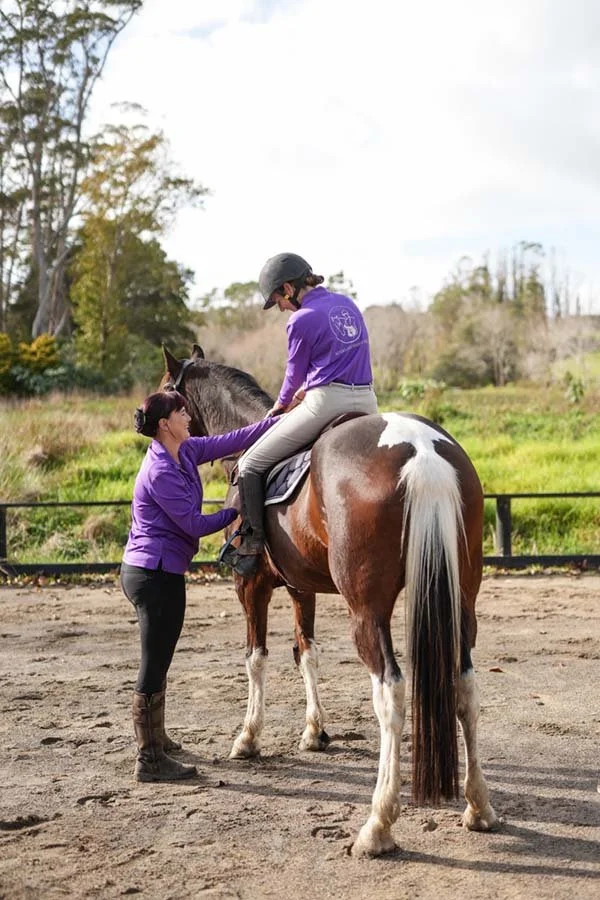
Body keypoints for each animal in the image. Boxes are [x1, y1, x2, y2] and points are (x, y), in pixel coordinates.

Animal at [162, 344, 498, 857]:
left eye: (165, 387)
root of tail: (420, 449)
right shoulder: (302, 588)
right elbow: (307, 653)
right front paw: (314, 731)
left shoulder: (250, 586)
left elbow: (256, 658)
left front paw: (248, 737)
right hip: (461, 604)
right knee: (466, 687)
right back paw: (478, 806)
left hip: (367, 613)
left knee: (390, 693)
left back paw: (378, 824)